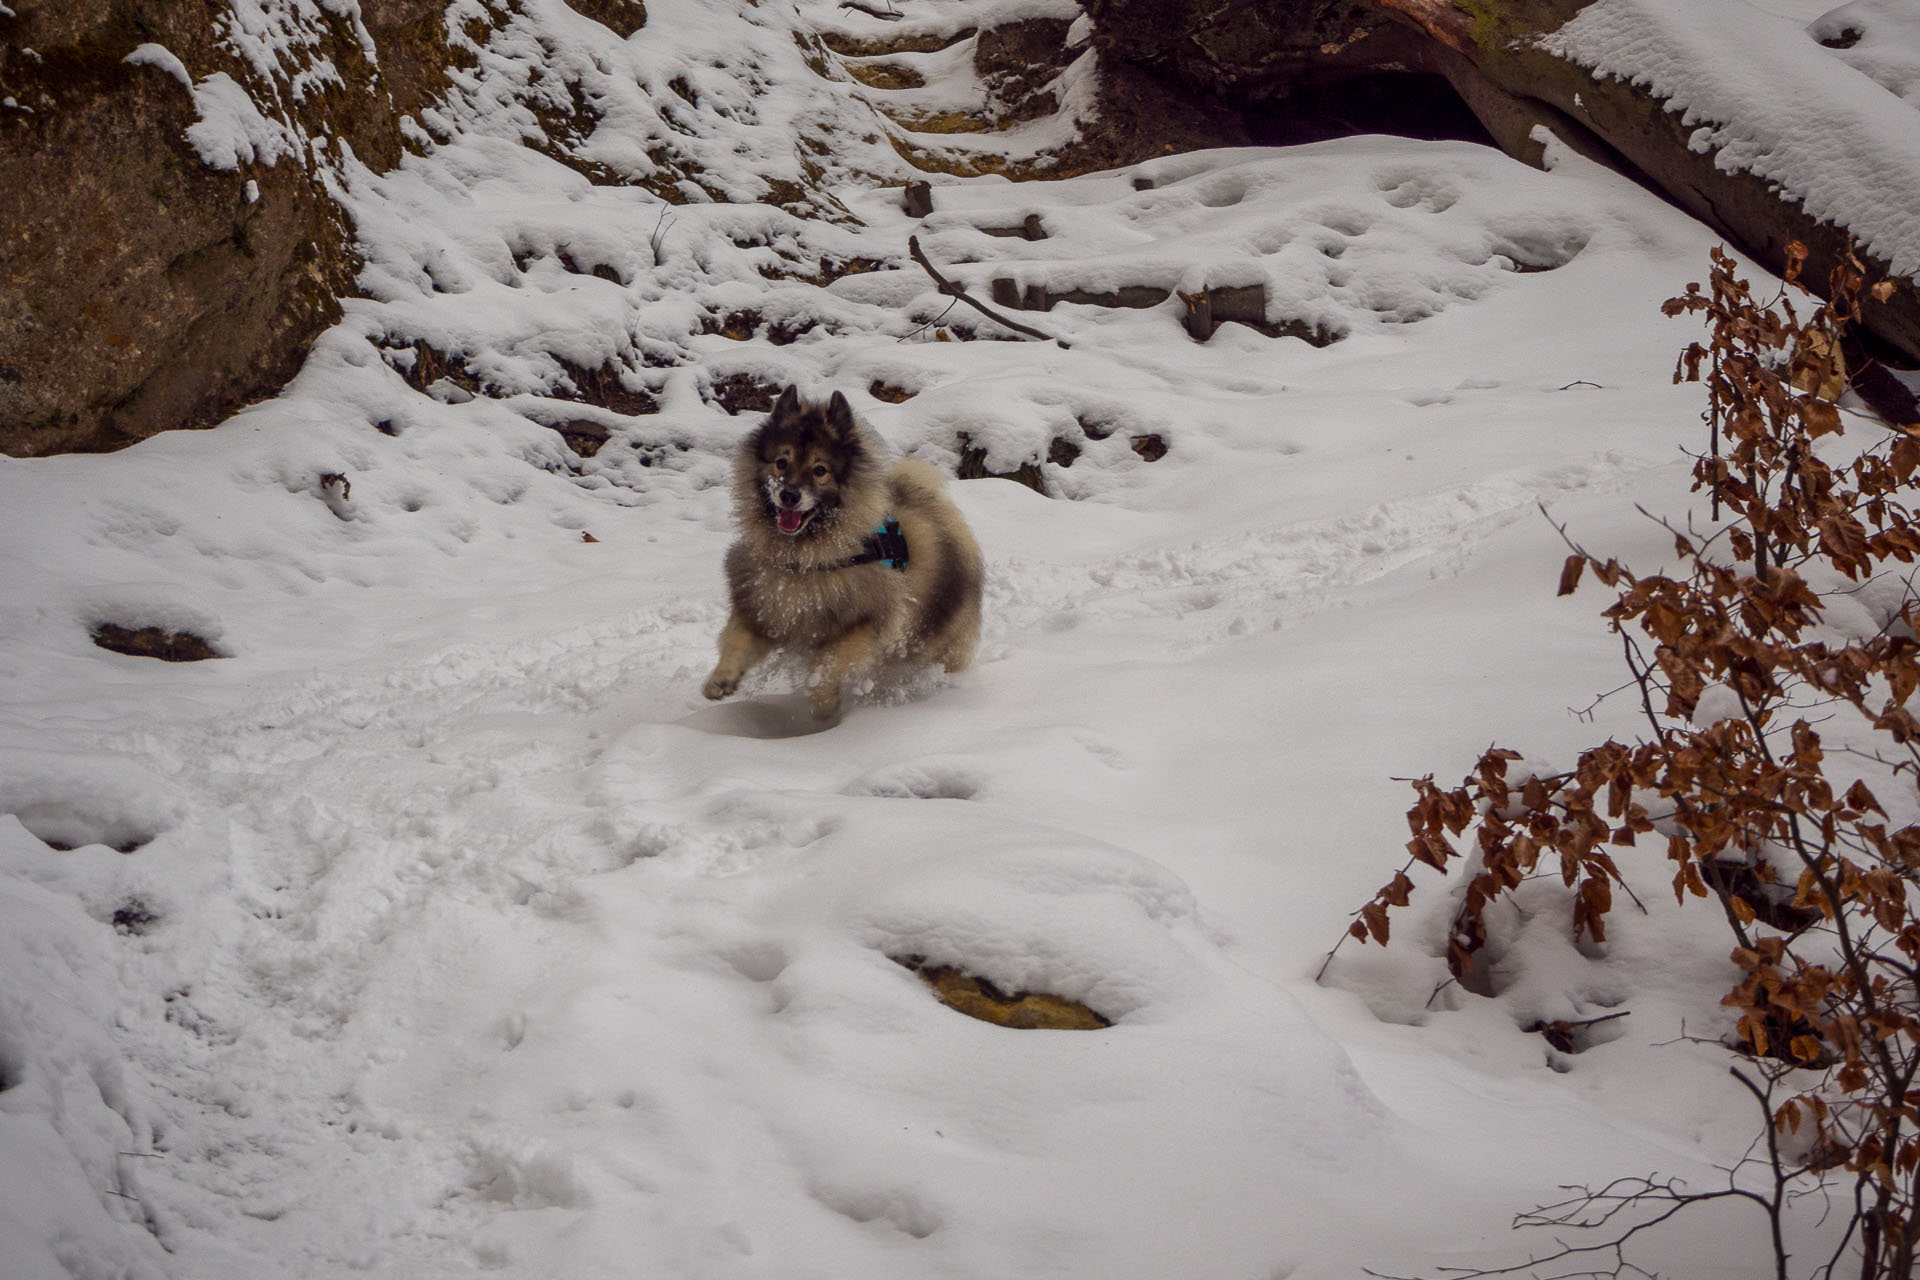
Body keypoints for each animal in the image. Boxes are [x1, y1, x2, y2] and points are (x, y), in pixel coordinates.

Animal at [698, 387, 983, 721]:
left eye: (820, 470)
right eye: (781, 462)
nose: (789, 495)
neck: (807, 559)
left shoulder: (865, 625)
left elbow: (827, 665)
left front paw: (824, 705)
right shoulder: (763, 607)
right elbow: (736, 641)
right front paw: (720, 680)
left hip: (934, 642)